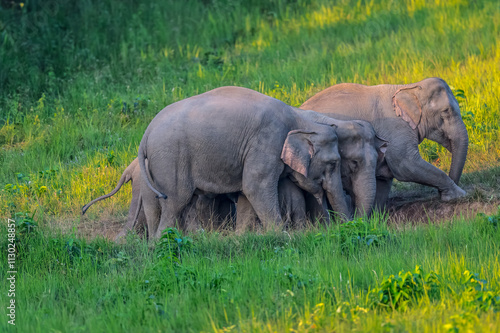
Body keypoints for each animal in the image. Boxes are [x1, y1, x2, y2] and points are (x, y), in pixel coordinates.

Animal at [300, 78, 468, 206]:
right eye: (446, 111)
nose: (439, 196)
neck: (408, 87)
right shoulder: (394, 128)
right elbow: (406, 164)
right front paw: (458, 195)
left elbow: (384, 178)